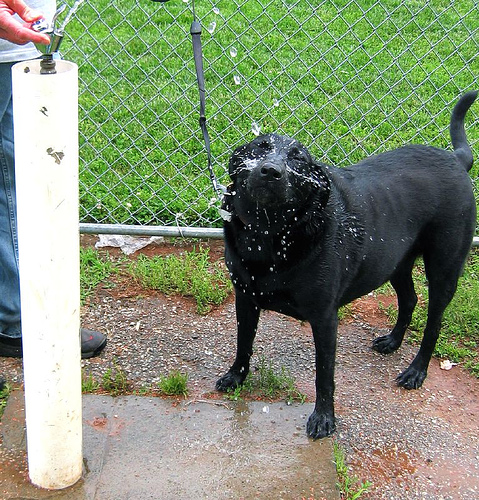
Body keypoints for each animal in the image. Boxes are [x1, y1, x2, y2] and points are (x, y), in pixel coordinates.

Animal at [218, 92, 479, 440]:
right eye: (260, 147)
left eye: (299, 159)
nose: (271, 170)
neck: (271, 236)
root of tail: (456, 159)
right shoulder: (245, 298)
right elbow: (243, 343)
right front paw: (236, 376)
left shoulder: (325, 319)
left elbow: (324, 374)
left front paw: (324, 418)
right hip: (393, 261)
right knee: (409, 299)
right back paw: (392, 341)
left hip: (444, 269)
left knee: (433, 323)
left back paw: (415, 371)